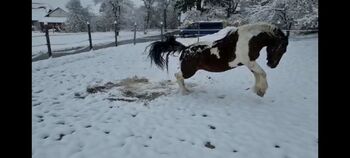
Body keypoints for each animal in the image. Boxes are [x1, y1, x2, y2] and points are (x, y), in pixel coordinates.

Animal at [146, 22, 290, 96]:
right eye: (282, 48)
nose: (272, 65)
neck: (249, 40)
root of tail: (185, 48)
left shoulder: (250, 63)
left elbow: (257, 74)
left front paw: (258, 90)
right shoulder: (249, 62)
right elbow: (262, 73)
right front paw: (262, 90)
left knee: (179, 77)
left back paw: (186, 90)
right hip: (189, 71)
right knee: (178, 76)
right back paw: (185, 92)